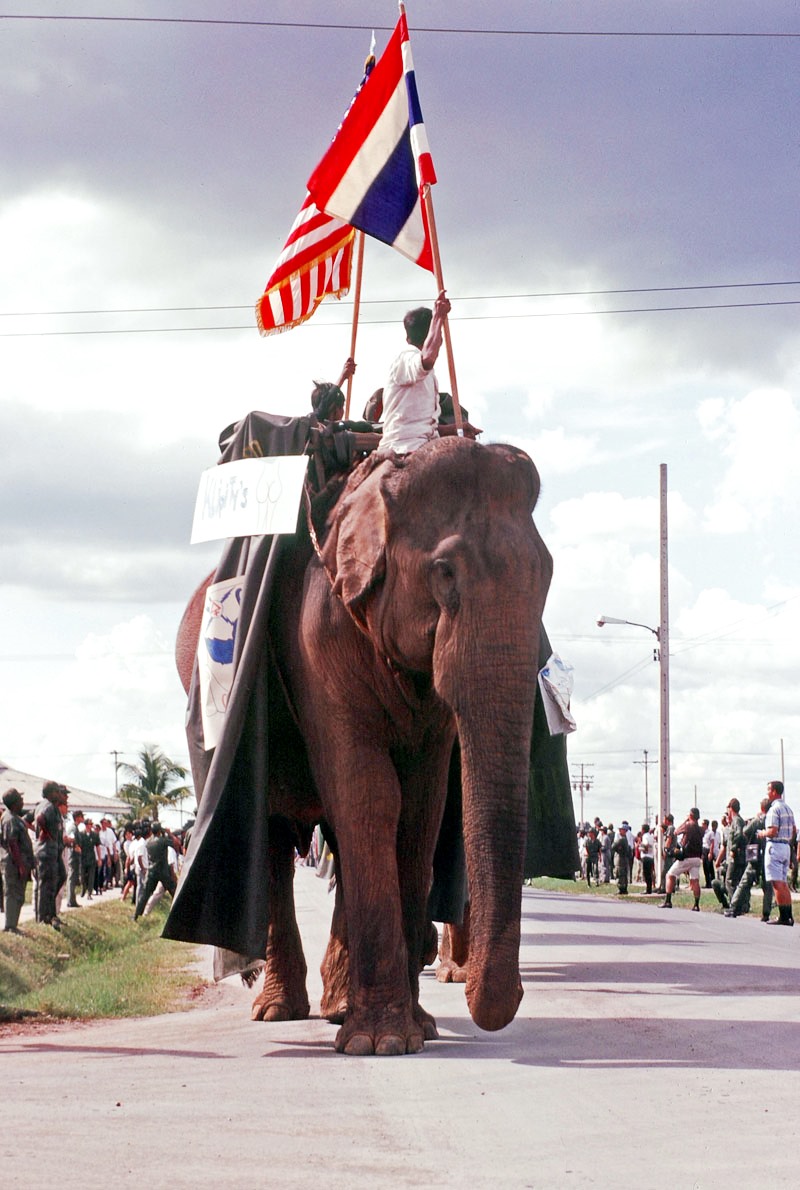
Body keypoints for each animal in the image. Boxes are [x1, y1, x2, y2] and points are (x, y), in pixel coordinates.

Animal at [165, 433, 552, 1056]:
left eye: (547, 576)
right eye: (445, 571)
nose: (503, 1000)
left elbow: (418, 807)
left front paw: (415, 1030)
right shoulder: (315, 637)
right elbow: (368, 792)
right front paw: (383, 1043)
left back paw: (338, 1008)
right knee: (273, 841)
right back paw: (278, 1012)